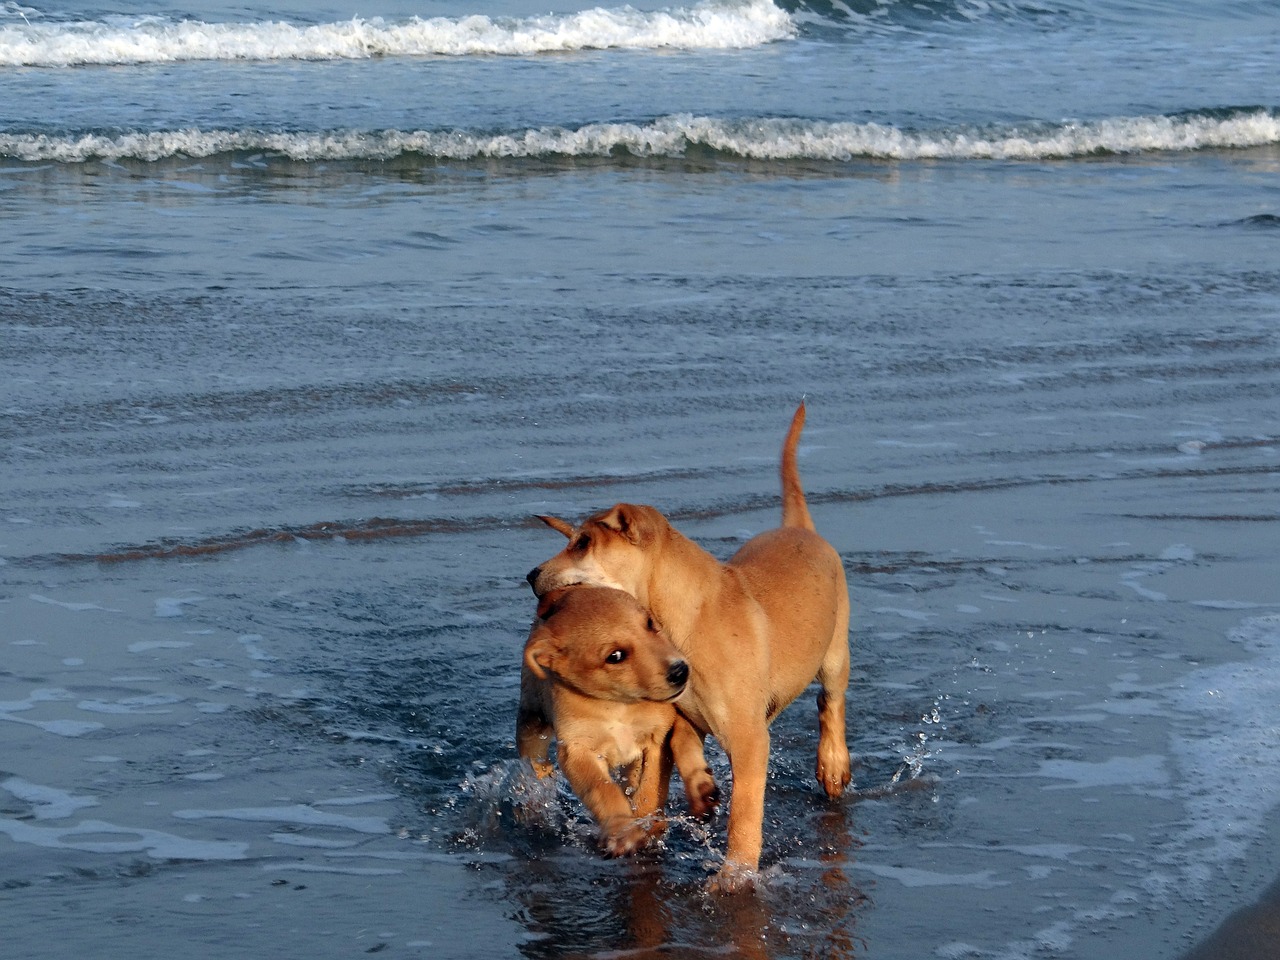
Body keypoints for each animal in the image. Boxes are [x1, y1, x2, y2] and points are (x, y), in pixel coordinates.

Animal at [517, 586, 721, 855]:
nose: (680, 671)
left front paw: (648, 822)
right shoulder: (577, 750)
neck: (618, 707)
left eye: (650, 623)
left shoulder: (658, 737)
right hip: (531, 725)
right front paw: (624, 830)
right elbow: (603, 789)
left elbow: (651, 786)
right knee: (534, 767)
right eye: (615, 656)